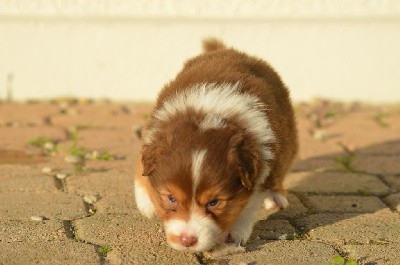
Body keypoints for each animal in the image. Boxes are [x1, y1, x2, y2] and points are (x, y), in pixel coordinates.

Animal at [134, 38, 296, 251]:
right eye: (171, 198)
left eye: (214, 202)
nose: (187, 241)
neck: (208, 114)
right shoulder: (152, 137)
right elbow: (140, 171)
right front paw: (146, 204)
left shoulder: (263, 163)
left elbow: (249, 205)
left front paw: (235, 233)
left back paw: (277, 198)